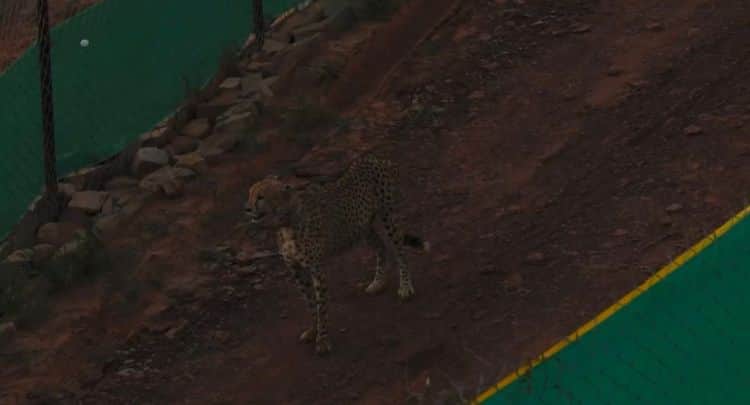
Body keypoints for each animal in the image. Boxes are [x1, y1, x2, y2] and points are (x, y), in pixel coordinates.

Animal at [244, 154, 430, 355]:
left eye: (260, 197)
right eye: (250, 194)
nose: (247, 208)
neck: (286, 223)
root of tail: (375, 158)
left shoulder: (316, 268)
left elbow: (321, 305)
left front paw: (323, 340)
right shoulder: (296, 270)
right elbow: (309, 302)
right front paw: (313, 330)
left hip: (388, 216)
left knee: (400, 251)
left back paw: (405, 287)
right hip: (361, 227)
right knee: (382, 248)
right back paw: (378, 283)